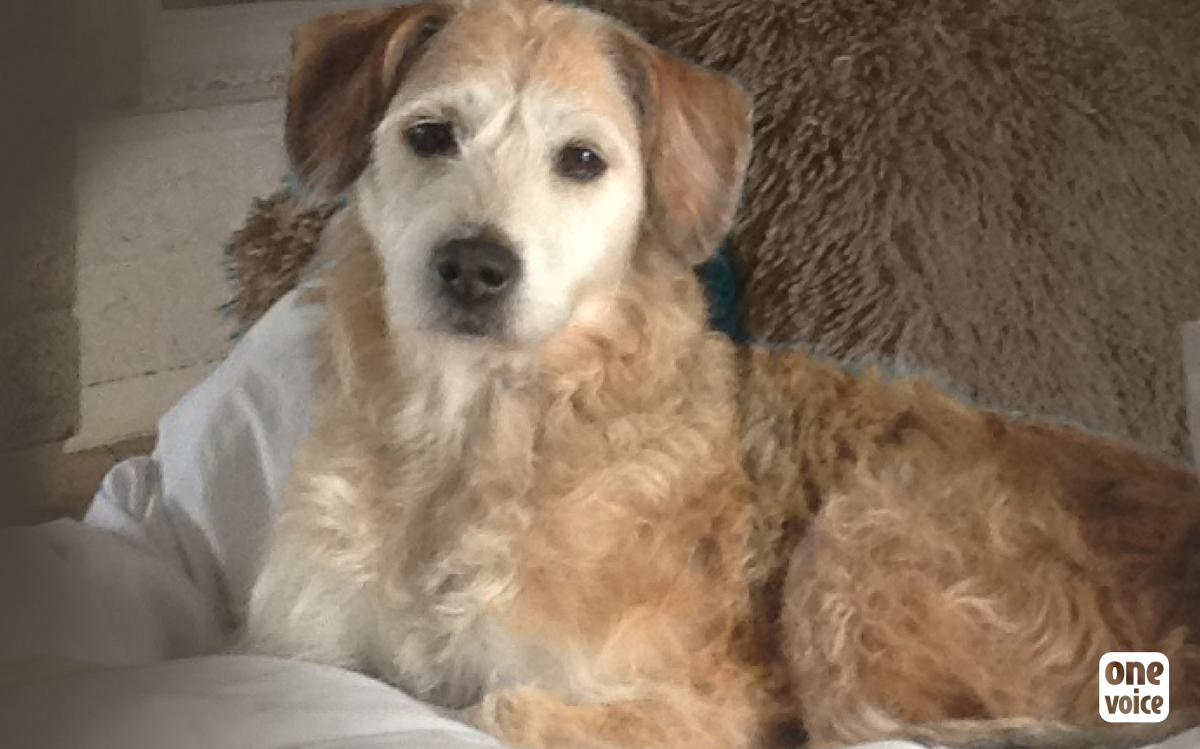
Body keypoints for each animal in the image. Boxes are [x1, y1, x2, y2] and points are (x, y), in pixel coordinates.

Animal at [242, 1, 1200, 747]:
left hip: (857, 543)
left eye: (582, 159)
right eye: (429, 135)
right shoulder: (301, 649)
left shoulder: (716, 700)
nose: (475, 266)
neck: (475, 437)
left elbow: (499, 706)